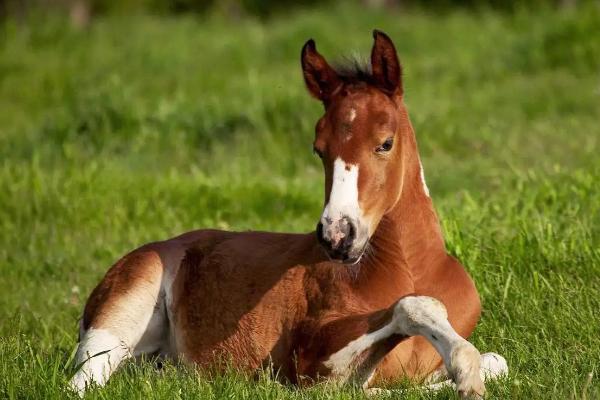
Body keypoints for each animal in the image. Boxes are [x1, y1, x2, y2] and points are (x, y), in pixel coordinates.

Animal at [69, 30, 506, 396]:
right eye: (319, 149)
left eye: (385, 142)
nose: (337, 235)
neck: (411, 268)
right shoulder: (310, 359)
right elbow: (409, 311)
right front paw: (465, 374)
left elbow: (496, 361)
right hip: (119, 315)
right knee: (81, 382)